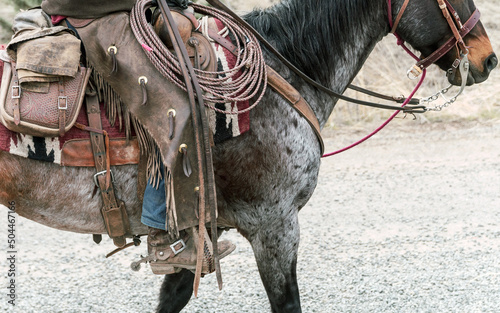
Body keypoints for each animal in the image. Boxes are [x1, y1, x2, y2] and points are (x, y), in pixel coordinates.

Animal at [0, 0, 496, 310]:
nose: (487, 59)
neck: (284, 76)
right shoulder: (274, 226)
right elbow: (287, 302)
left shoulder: (204, 230)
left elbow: (173, 295)